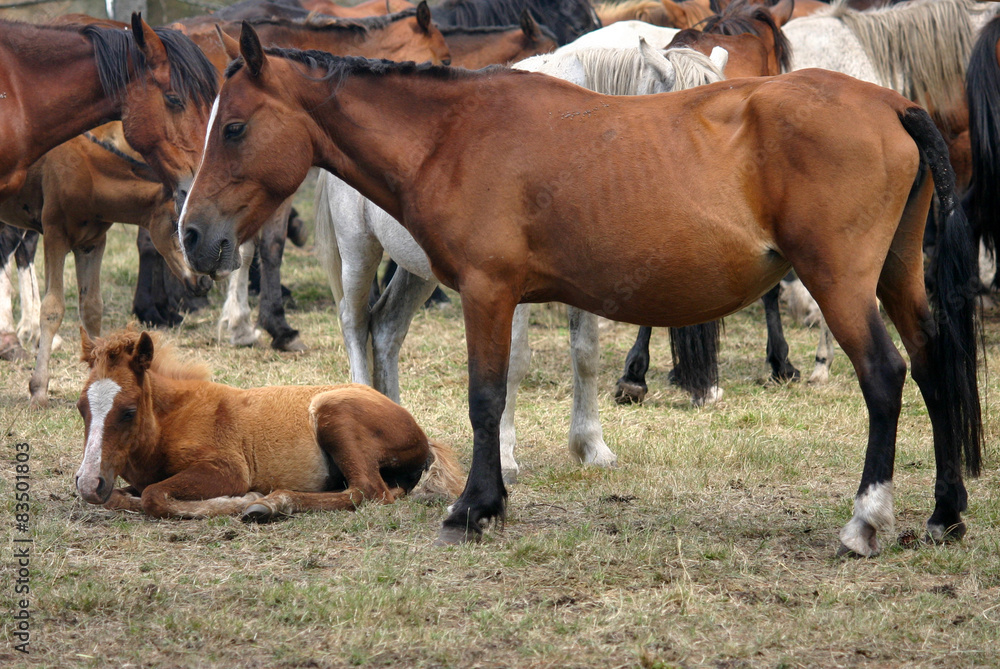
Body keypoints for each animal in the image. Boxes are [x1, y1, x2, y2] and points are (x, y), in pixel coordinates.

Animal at [0, 123, 200, 408]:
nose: (204, 281)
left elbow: (92, 308)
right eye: (175, 224)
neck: (88, 173)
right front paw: (38, 391)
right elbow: (52, 310)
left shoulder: (92, 243)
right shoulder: (55, 234)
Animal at [75, 328, 464, 521]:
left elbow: (154, 496)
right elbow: (122, 497)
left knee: (368, 491)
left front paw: (239, 501)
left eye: (128, 411)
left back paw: (271, 504)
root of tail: (422, 437)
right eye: (80, 408)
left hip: (333, 412)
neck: (170, 419)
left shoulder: (227, 468)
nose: (88, 483)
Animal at [313, 39, 722, 483]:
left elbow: (586, 354)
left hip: (416, 269)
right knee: (355, 323)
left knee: (387, 328)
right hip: (359, 249)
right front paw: (504, 457)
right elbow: (513, 360)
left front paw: (592, 447)